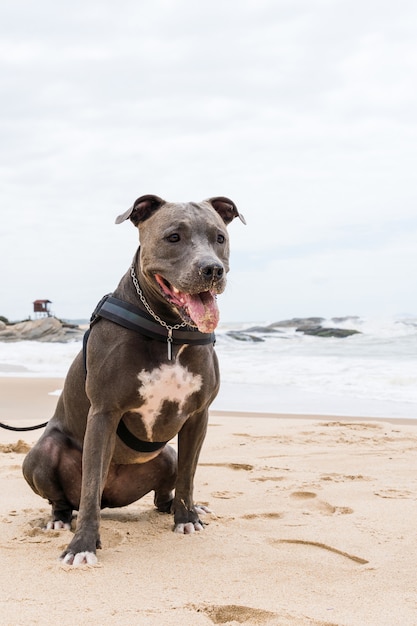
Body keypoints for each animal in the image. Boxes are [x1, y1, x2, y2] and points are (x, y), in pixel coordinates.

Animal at [22, 193, 244, 564]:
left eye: (220, 238)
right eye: (173, 237)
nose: (213, 269)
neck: (169, 329)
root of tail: (113, 498)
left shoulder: (198, 416)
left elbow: (189, 476)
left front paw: (187, 518)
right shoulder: (104, 413)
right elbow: (90, 487)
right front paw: (82, 545)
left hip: (166, 455)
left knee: (162, 492)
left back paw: (176, 509)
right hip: (40, 454)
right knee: (67, 499)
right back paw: (59, 519)